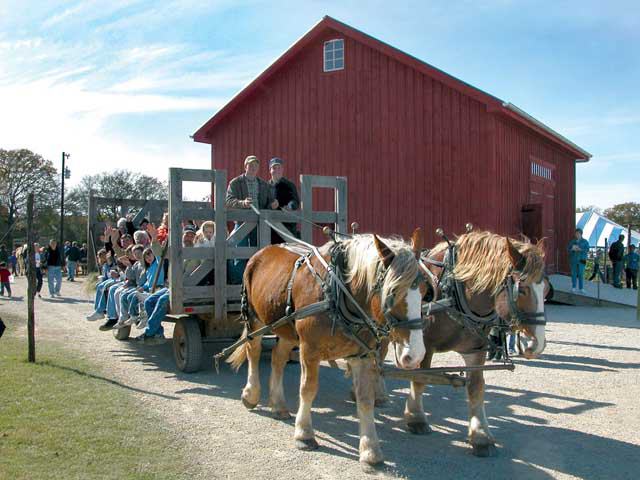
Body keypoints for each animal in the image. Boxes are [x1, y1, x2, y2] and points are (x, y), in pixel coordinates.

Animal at [228, 231, 428, 466]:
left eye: (425, 290)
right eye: (392, 292)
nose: (415, 355)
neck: (337, 293)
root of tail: (262, 252)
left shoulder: (362, 355)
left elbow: (365, 399)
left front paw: (370, 449)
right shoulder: (309, 350)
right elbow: (308, 389)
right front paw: (304, 434)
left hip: (286, 327)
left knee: (278, 357)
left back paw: (278, 405)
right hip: (254, 318)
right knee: (254, 352)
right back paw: (250, 394)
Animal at [402, 232, 548, 458]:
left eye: (547, 290)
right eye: (522, 290)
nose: (537, 344)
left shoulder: (476, 350)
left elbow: (476, 388)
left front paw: (480, 435)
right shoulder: (424, 344)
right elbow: (419, 380)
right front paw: (416, 418)